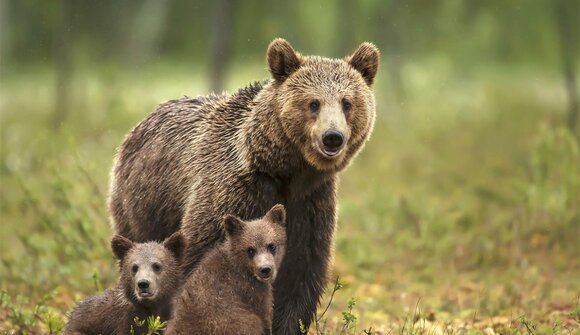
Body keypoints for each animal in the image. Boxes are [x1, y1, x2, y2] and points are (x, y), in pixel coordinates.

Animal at [109, 38, 378, 334]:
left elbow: (300, 275)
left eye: (347, 103)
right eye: (313, 103)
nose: (332, 137)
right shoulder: (234, 193)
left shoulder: (310, 204)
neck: (287, 171)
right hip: (143, 204)